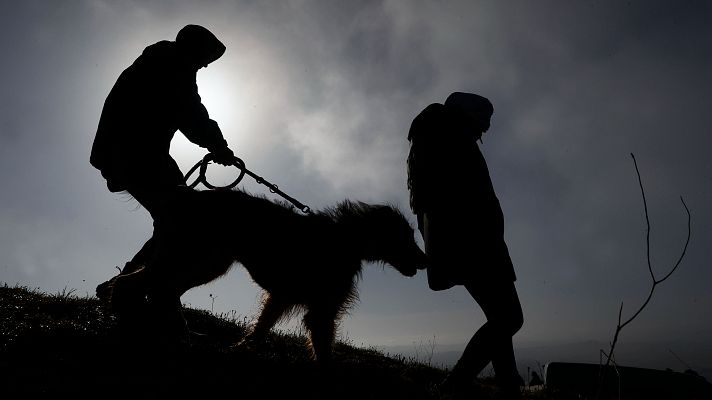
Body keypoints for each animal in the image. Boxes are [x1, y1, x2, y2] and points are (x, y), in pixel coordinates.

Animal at [105, 189, 426, 360]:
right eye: (407, 237)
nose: (425, 261)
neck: (345, 239)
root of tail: (186, 195)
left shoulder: (281, 298)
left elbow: (261, 327)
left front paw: (240, 348)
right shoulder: (321, 310)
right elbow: (323, 349)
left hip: (204, 262)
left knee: (158, 287)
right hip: (194, 258)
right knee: (138, 283)